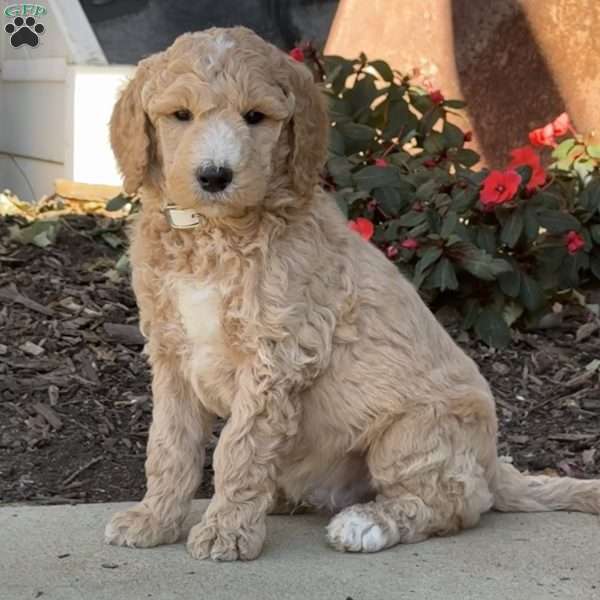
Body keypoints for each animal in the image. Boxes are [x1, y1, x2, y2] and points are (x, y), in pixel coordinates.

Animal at [104, 27, 600, 564]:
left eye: (255, 117)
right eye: (180, 115)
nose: (215, 176)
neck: (213, 235)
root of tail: (493, 464)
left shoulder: (275, 356)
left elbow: (240, 447)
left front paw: (226, 531)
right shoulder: (172, 353)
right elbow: (169, 444)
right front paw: (154, 519)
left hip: (414, 433)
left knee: (450, 503)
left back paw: (367, 523)